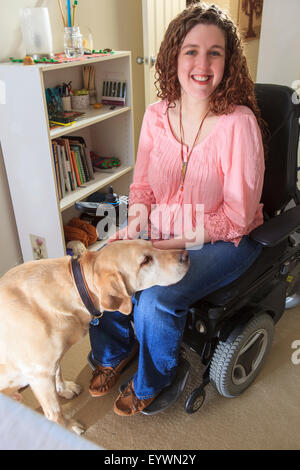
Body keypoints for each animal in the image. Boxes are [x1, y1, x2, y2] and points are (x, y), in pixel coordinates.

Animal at [0, 241, 189, 436]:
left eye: (153, 245)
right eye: (145, 261)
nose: (186, 255)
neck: (75, 287)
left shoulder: (50, 365)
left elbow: (58, 369)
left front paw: (63, 388)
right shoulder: (40, 373)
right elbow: (55, 412)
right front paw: (67, 427)